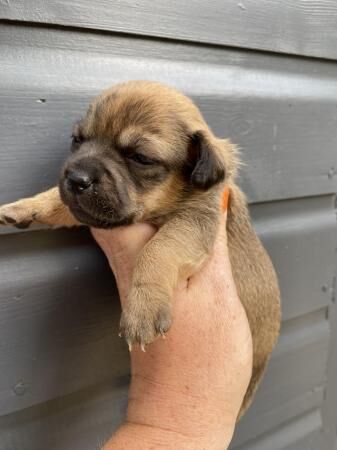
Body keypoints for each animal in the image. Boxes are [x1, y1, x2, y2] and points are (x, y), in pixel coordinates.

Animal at [0, 81, 280, 414]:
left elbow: (158, 249)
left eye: (141, 157)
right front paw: (25, 207)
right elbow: (59, 201)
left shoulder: (195, 220)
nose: (76, 178)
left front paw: (143, 307)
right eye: (77, 140)